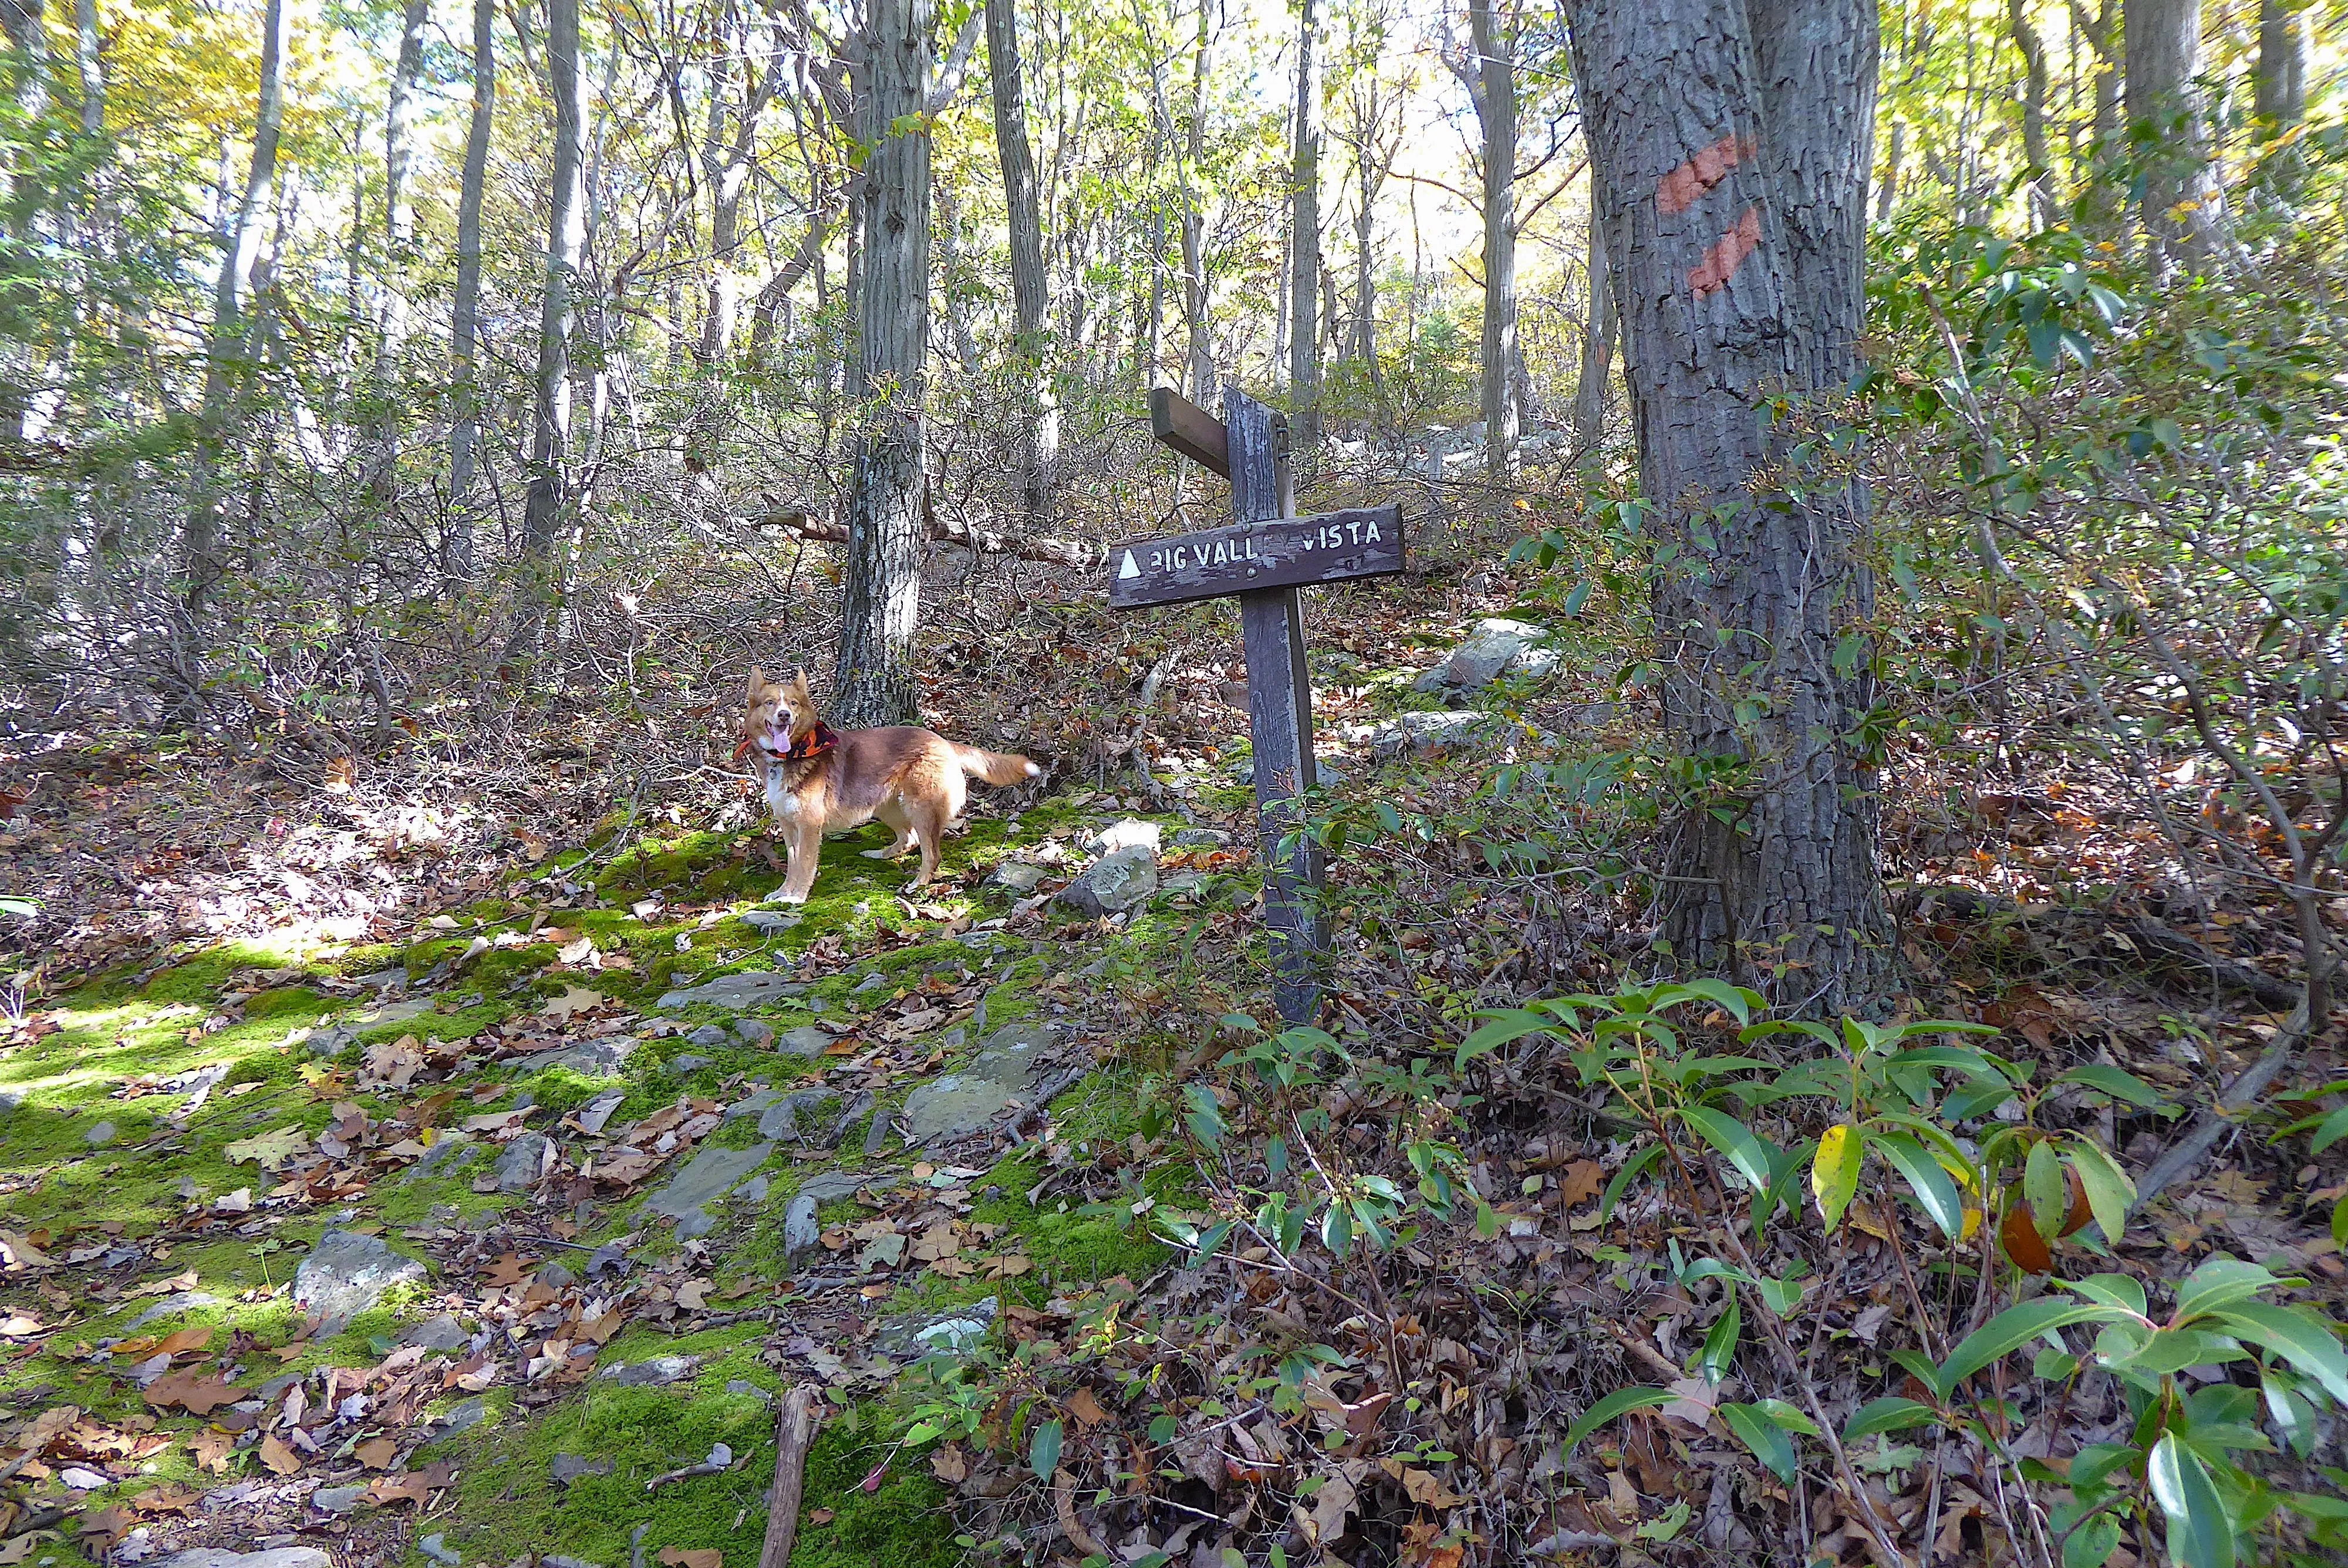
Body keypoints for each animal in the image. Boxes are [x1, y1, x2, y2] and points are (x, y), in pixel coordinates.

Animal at [737, 667, 1043, 906]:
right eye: (769, 703)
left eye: (793, 703)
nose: (784, 716)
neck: (789, 756)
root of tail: (941, 741)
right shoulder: (789, 825)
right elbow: (792, 863)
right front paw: (783, 893)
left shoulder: (810, 825)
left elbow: (804, 865)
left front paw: (797, 897)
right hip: (886, 806)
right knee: (910, 839)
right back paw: (879, 855)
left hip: (919, 807)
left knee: (931, 853)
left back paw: (917, 884)